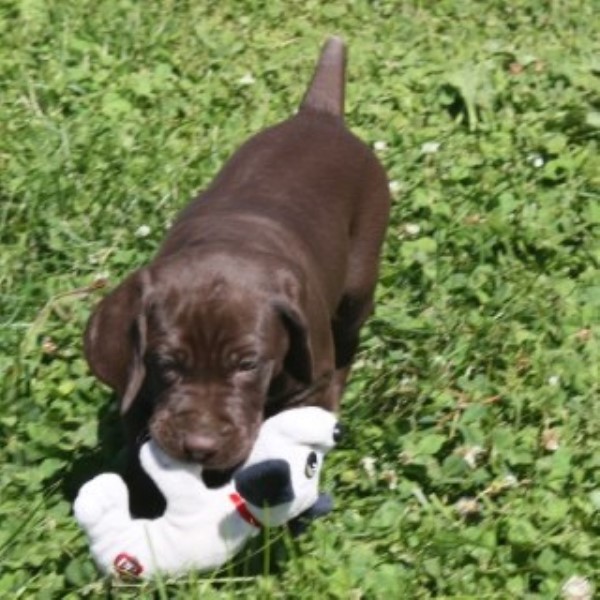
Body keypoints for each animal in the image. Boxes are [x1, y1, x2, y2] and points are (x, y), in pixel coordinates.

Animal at [85, 37, 394, 516]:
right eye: (166, 364)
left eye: (248, 365)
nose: (199, 447)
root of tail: (319, 115)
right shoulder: (135, 396)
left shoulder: (307, 382)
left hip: (357, 289)